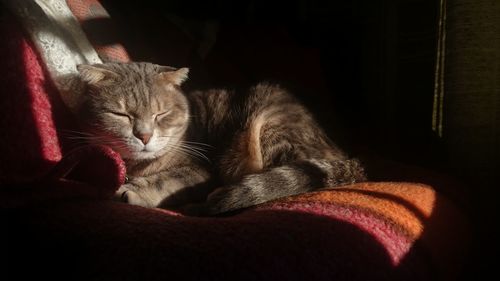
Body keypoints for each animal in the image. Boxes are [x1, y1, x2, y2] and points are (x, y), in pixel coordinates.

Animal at [74, 61, 366, 214]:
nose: (144, 136)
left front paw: (133, 191)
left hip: (268, 124)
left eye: (161, 114)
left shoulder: (202, 170)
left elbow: (165, 180)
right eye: (120, 114)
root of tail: (349, 158)